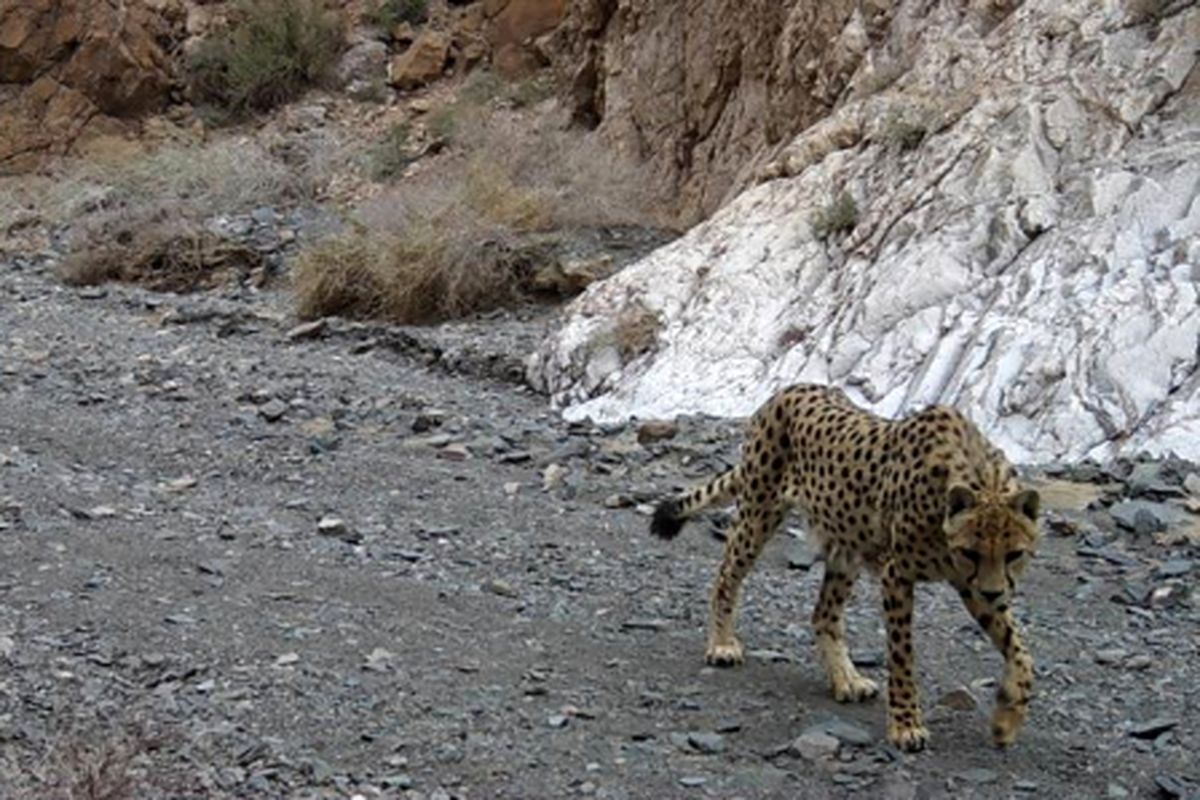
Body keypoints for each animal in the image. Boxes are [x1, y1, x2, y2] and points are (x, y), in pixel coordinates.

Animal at [652, 383, 1036, 753]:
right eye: (971, 552)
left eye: (1014, 554)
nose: (993, 592)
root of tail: (787, 389)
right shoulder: (898, 574)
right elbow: (902, 657)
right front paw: (906, 725)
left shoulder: (973, 586)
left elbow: (1020, 652)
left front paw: (1006, 717)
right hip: (758, 514)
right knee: (726, 577)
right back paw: (721, 645)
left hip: (847, 546)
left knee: (823, 614)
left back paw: (846, 680)